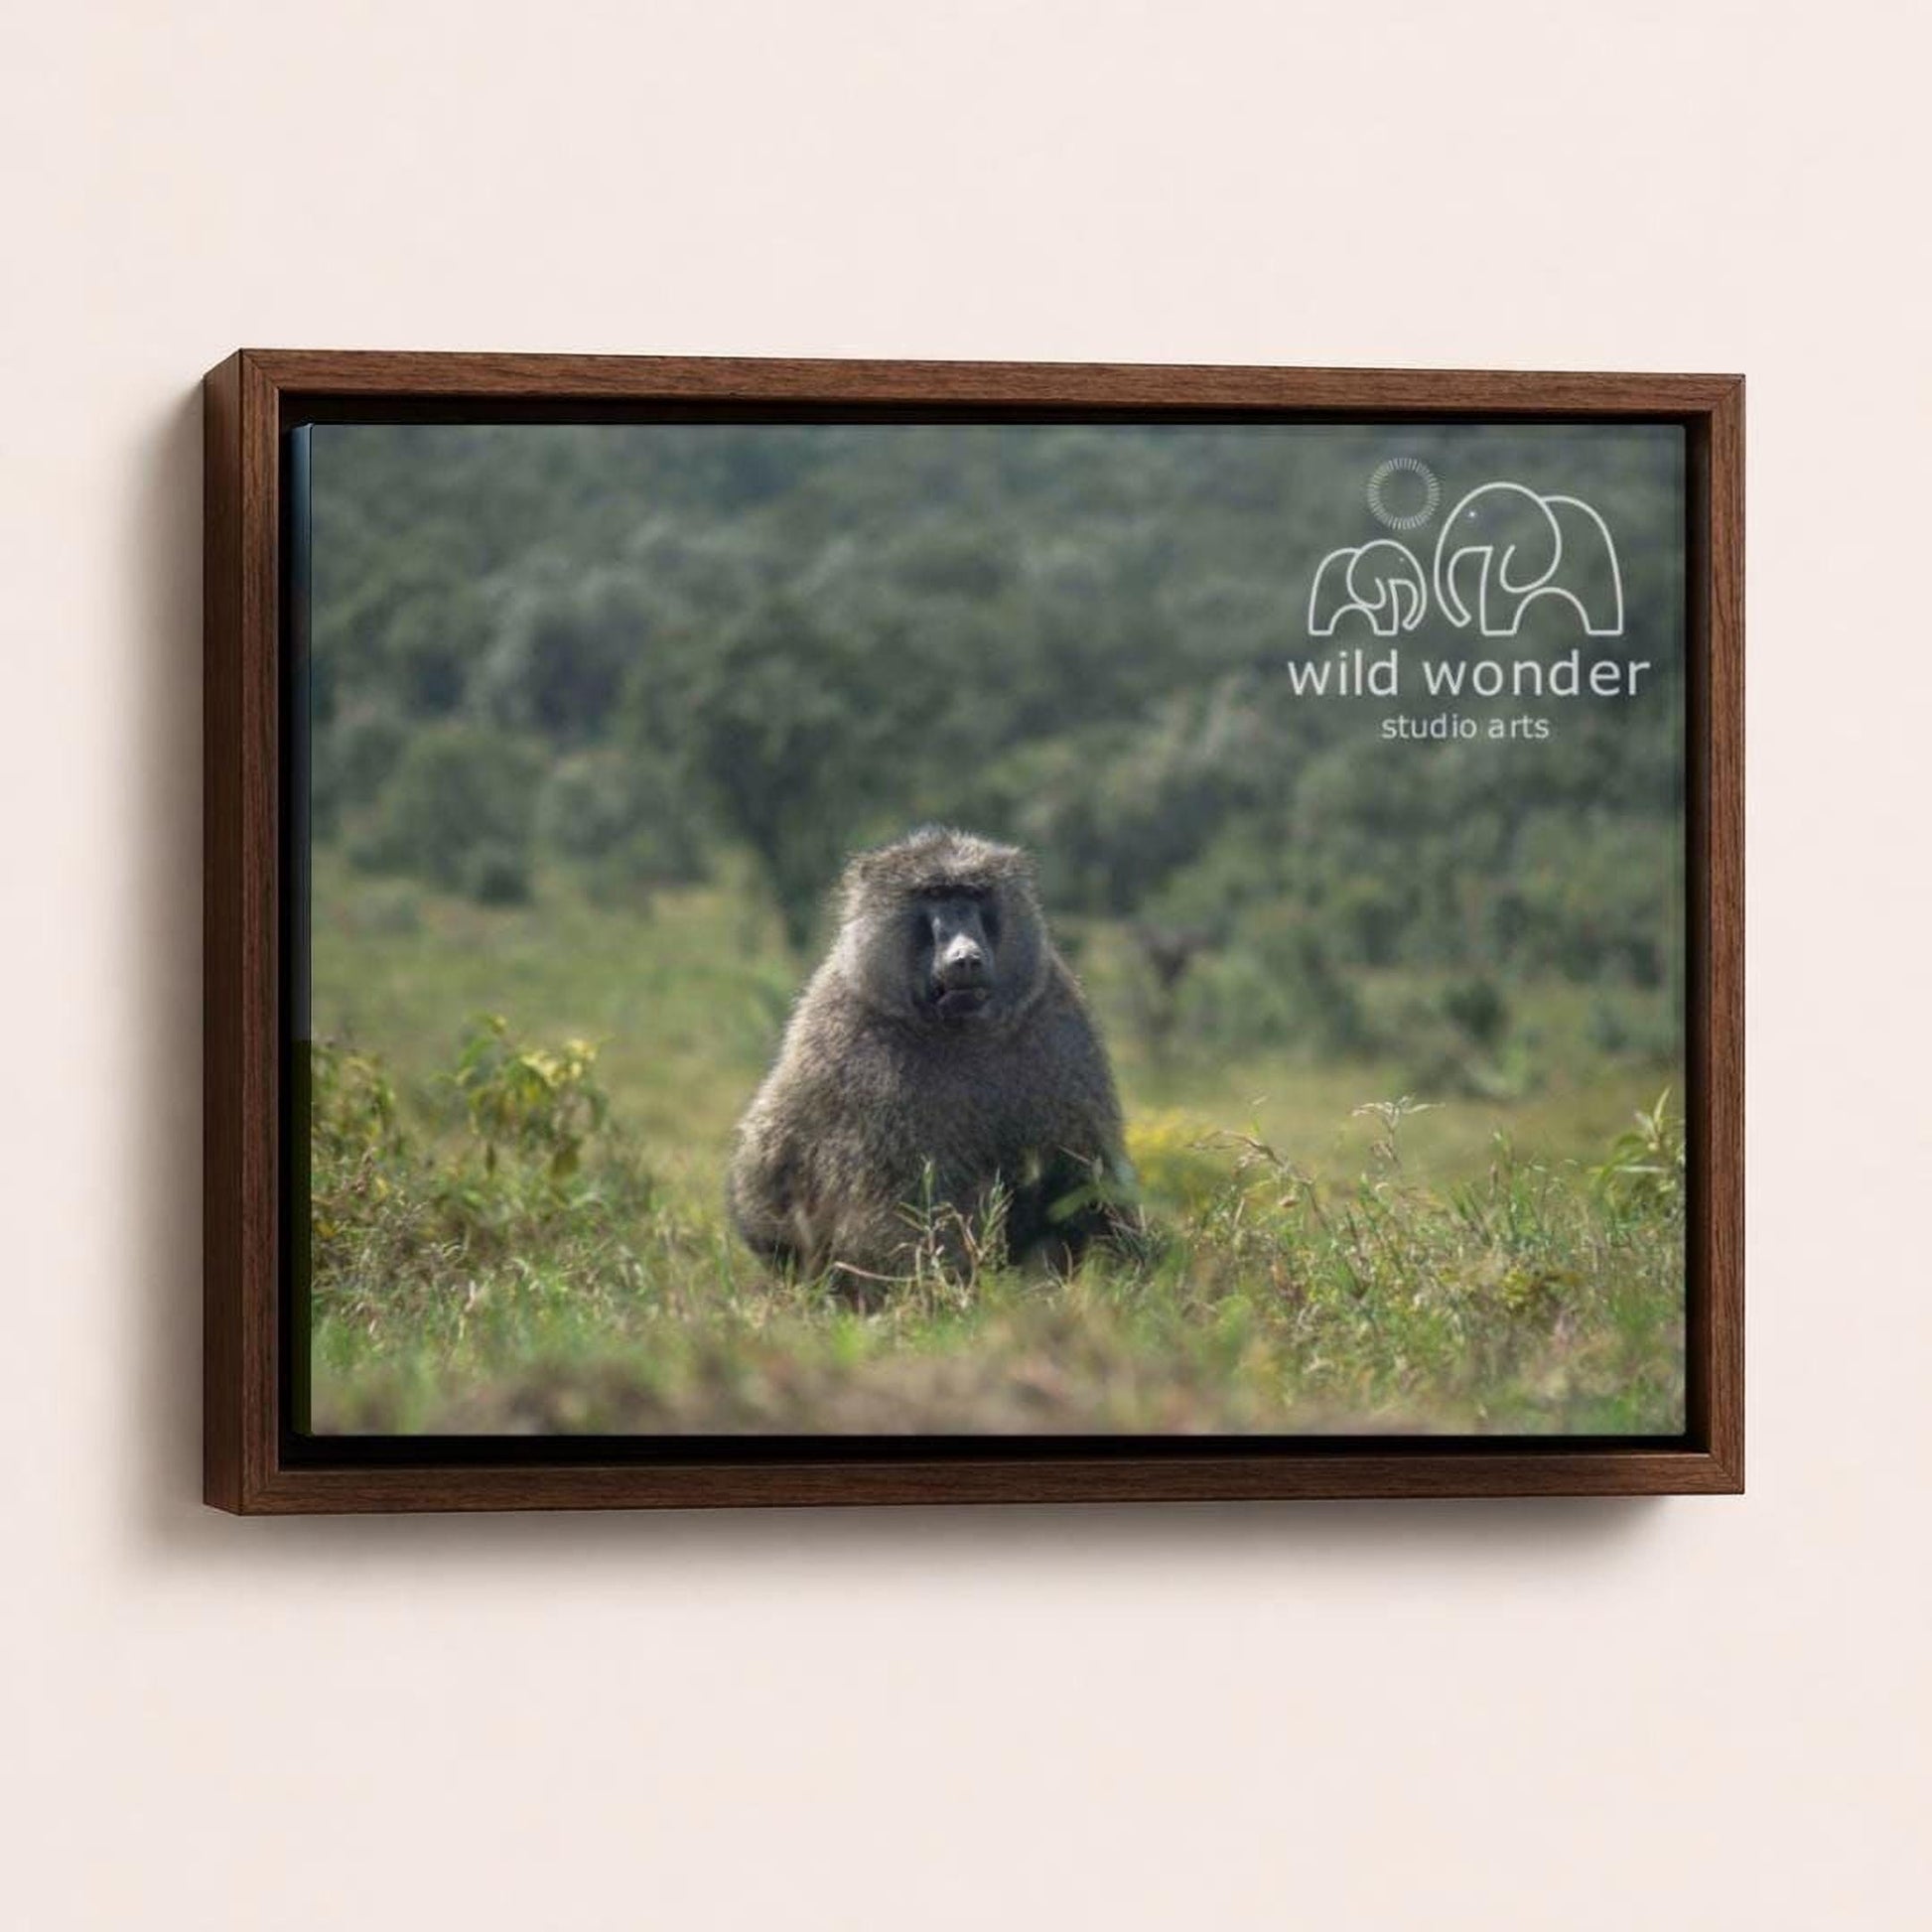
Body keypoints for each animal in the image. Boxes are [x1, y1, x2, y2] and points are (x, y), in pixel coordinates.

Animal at [727, 827, 1131, 1283]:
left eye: (974, 894)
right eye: (935, 894)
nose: (966, 957)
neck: (959, 1030)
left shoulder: (1056, 1020)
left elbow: (1085, 1171)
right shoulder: (862, 1055)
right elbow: (901, 1205)